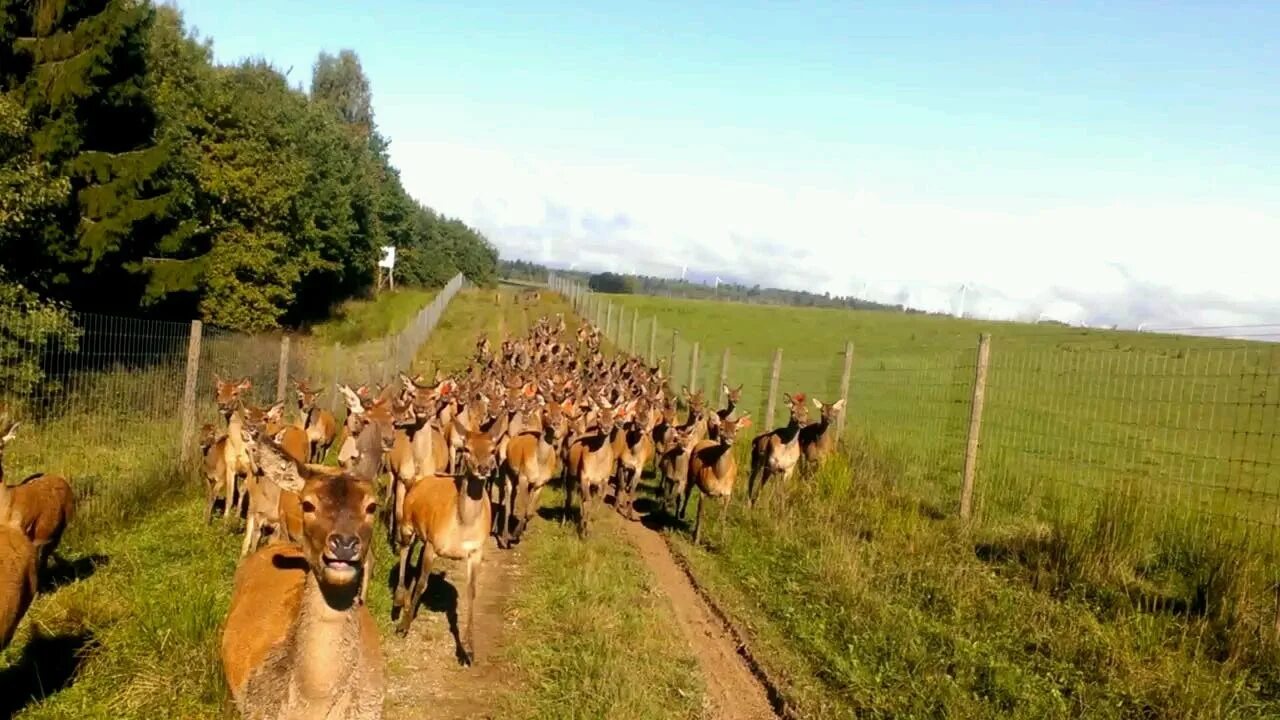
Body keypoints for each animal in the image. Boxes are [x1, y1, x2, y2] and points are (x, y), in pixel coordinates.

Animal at [391, 409, 506, 661]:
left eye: (493, 449)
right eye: (467, 448)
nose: (484, 468)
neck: (461, 525)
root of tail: (420, 479)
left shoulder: (475, 551)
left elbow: (471, 592)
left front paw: (469, 650)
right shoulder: (434, 543)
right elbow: (423, 583)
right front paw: (403, 626)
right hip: (407, 523)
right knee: (404, 549)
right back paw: (399, 600)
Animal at [686, 412, 752, 540]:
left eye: (736, 430)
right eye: (721, 428)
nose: (729, 439)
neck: (719, 476)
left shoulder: (727, 493)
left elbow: (723, 516)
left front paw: (722, 539)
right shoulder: (704, 490)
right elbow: (700, 513)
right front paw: (696, 539)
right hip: (690, 474)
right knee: (686, 493)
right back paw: (679, 514)